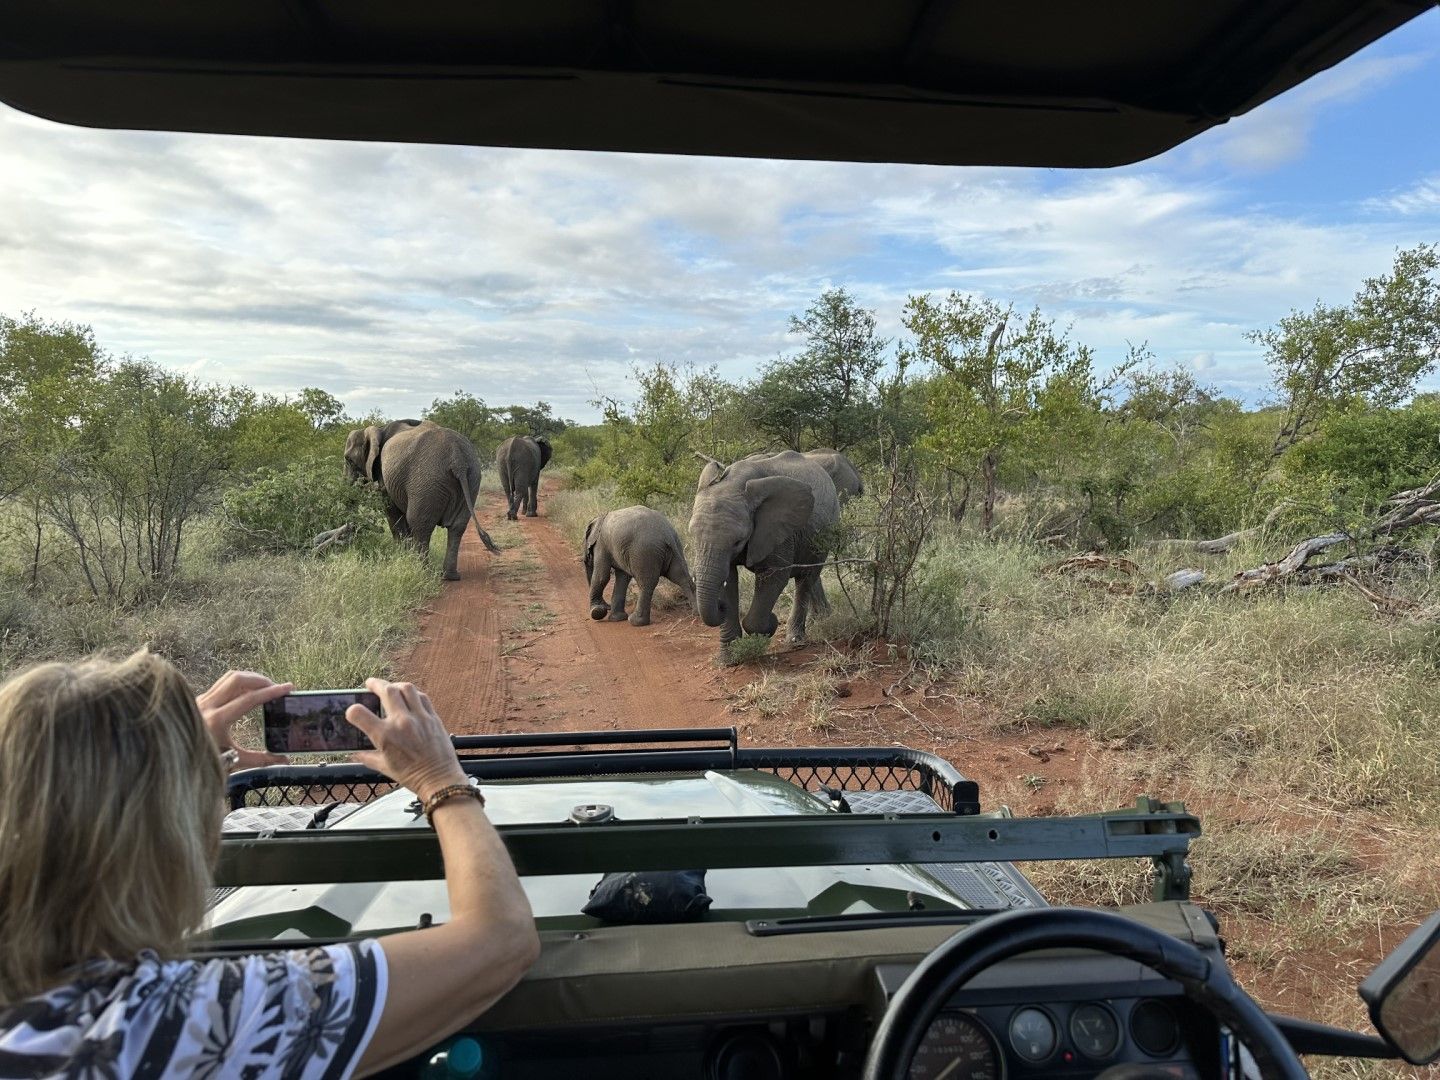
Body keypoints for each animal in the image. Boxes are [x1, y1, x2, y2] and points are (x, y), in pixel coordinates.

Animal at [342, 420, 501, 584]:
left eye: (349, 460)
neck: (378, 428)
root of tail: (458, 459)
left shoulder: (384, 476)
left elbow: (393, 513)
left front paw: (402, 556)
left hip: (427, 483)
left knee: (420, 525)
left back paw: (422, 571)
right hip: (472, 479)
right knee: (457, 527)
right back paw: (449, 576)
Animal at [688, 449, 840, 650]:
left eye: (738, 541)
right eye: (692, 536)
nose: (720, 606)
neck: (734, 482)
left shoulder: (778, 531)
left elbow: (774, 576)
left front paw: (771, 623)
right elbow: (729, 578)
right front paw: (728, 656)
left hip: (826, 528)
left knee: (806, 578)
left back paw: (795, 640)